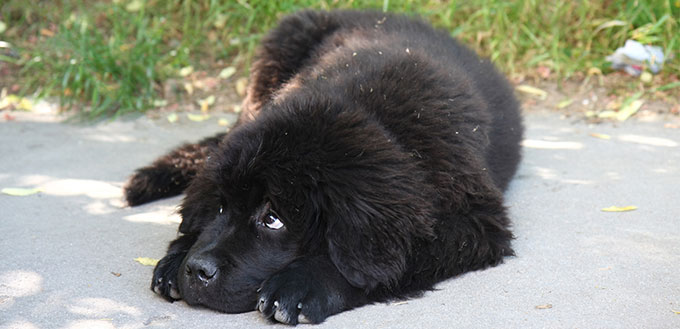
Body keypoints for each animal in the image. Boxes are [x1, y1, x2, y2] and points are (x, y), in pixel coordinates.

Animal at [125, 9, 524, 322]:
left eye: (274, 219)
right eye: (221, 206)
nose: (196, 269)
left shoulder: (475, 222)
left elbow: (392, 261)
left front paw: (302, 285)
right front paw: (178, 254)